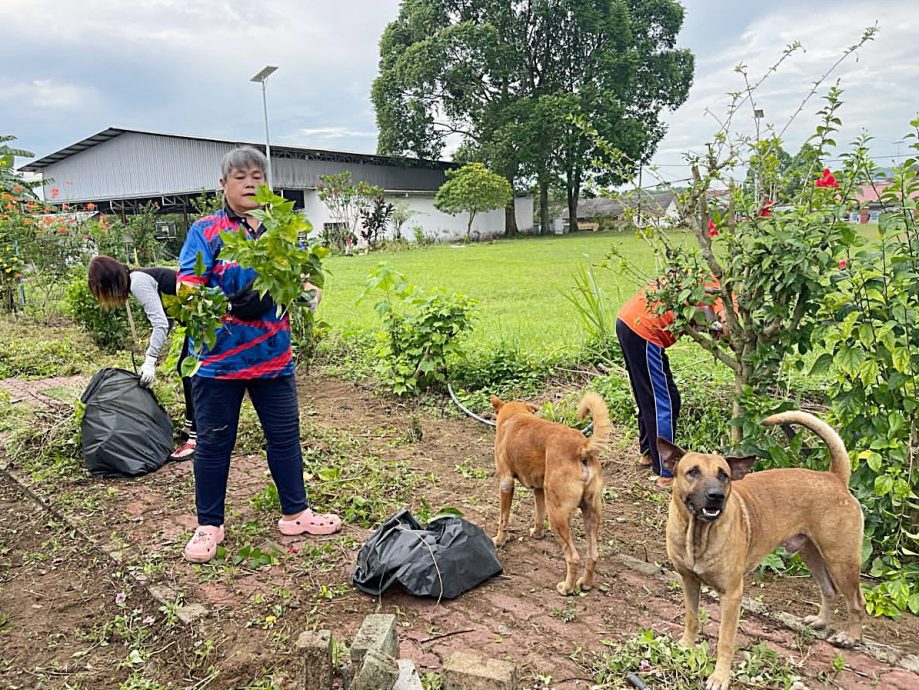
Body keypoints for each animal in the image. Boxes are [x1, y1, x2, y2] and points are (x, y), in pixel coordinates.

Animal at [488, 390, 612, 592]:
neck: (515, 415)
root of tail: (581, 448)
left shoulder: (506, 483)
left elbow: (503, 518)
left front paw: (499, 540)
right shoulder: (539, 490)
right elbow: (538, 515)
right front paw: (537, 534)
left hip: (557, 514)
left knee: (573, 557)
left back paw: (566, 588)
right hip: (591, 513)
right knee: (593, 555)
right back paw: (585, 584)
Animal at [656, 412, 868, 684]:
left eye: (723, 475)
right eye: (692, 472)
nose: (716, 496)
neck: (698, 533)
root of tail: (834, 477)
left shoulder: (732, 595)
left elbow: (725, 641)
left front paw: (720, 677)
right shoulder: (689, 581)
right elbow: (691, 618)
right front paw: (686, 646)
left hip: (841, 560)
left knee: (857, 602)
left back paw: (850, 637)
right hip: (811, 553)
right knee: (829, 590)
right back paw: (821, 621)